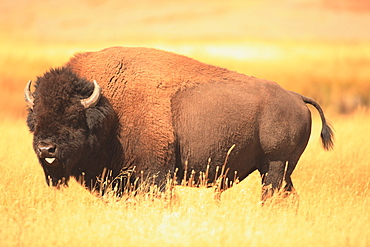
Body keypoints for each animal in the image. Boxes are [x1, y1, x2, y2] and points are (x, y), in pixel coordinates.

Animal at [24, 46, 334, 201]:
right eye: (36, 119)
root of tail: (296, 97)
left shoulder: (155, 174)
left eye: (73, 118)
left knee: (272, 196)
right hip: (278, 169)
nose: (46, 149)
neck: (109, 109)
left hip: (275, 165)